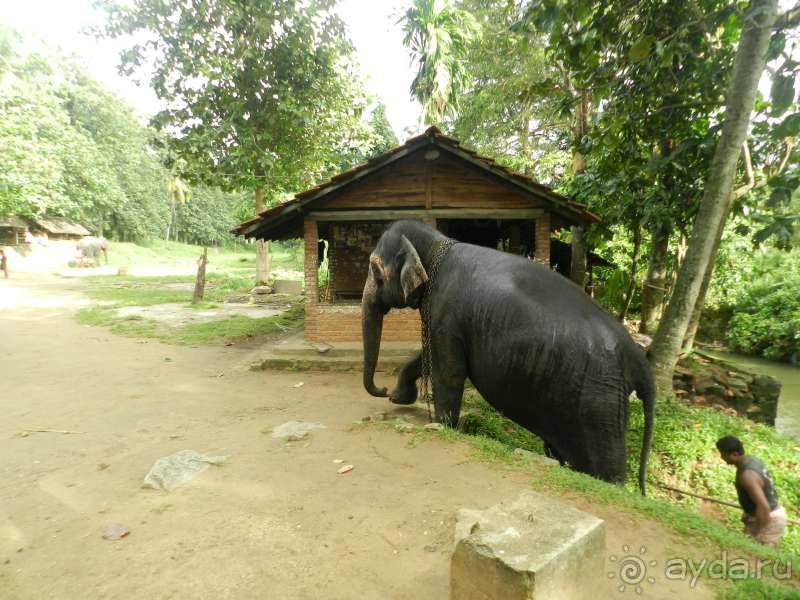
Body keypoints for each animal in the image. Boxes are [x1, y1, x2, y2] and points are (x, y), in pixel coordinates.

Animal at [362, 219, 656, 492]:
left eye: (375, 270)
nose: (383, 390)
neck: (438, 244)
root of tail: (636, 356)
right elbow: (427, 355)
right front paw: (399, 398)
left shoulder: (446, 313)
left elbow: (448, 372)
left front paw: (442, 425)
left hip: (599, 403)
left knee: (605, 465)